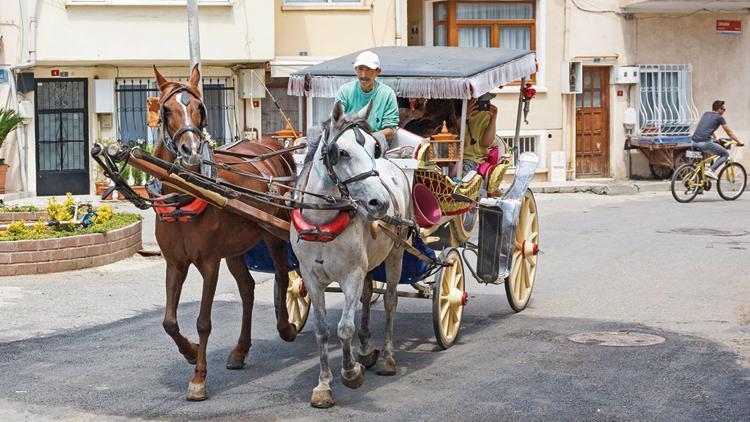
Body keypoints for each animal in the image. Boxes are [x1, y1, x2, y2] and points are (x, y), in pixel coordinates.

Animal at [152, 64, 296, 400]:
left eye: (199, 107)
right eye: (166, 109)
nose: (191, 151)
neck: (186, 191)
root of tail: (272, 145)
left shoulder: (209, 262)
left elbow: (204, 321)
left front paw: (199, 378)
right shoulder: (174, 262)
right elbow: (168, 321)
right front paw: (191, 352)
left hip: (274, 233)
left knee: (284, 277)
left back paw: (286, 327)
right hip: (236, 247)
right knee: (247, 289)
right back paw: (241, 350)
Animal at [292, 100, 414, 408]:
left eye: (374, 148)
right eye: (342, 152)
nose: (379, 203)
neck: (321, 222)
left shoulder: (351, 274)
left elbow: (344, 327)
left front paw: (350, 372)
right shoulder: (311, 278)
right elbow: (322, 330)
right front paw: (324, 385)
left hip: (397, 251)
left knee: (391, 300)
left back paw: (386, 358)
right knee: (368, 295)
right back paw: (366, 347)